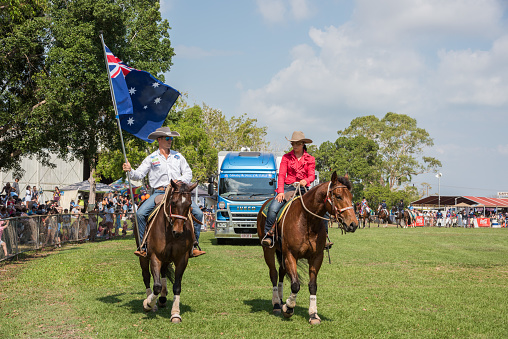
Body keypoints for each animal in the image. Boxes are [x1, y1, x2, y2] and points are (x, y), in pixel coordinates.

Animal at [136, 181, 197, 324]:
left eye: (189, 204)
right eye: (173, 202)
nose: (178, 232)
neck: (169, 232)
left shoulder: (182, 259)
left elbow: (177, 286)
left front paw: (175, 313)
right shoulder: (155, 257)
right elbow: (156, 285)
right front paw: (148, 304)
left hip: (166, 258)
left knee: (163, 273)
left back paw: (163, 299)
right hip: (143, 257)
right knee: (146, 277)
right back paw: (151, 303)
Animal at [254, 174, 358, 326]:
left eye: (350, 197)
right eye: (338, 196)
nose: (353, 224)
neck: (306, 221)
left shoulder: (316, 257)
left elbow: (312, 285)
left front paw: (313, 314)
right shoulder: (291, 255)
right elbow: (295, 285)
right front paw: (288, 308)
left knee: (281, 271)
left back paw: (280, 299)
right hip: (268, 250)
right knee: (273, 274)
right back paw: (277, 304)